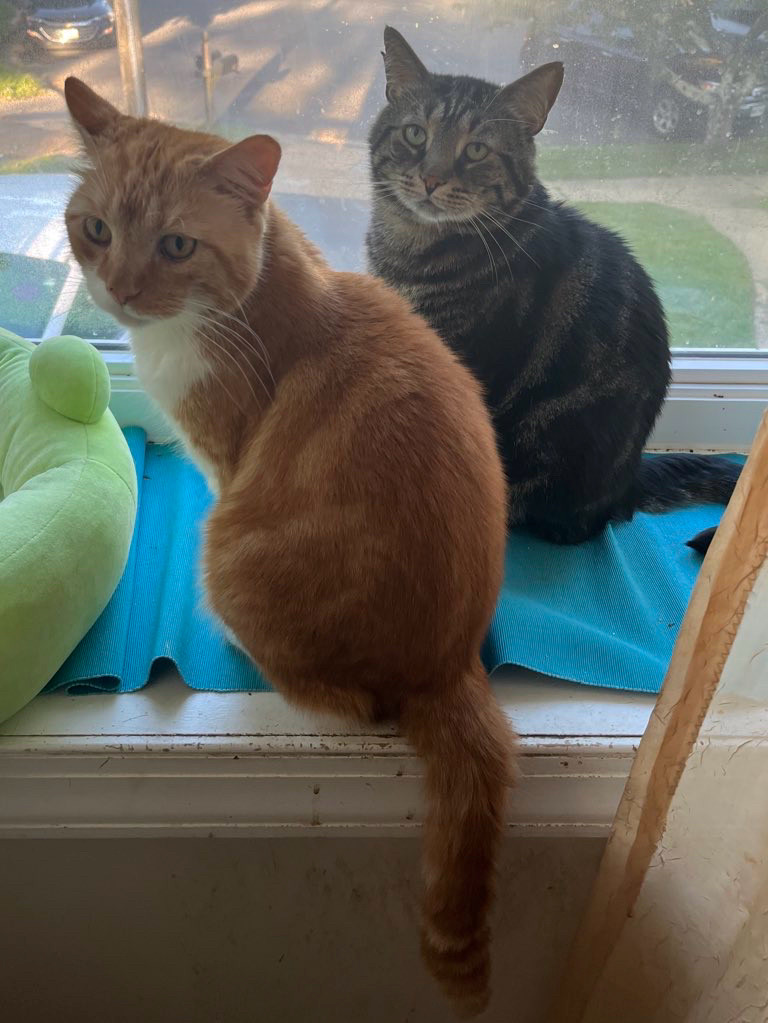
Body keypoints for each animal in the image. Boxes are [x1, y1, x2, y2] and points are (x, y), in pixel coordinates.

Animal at [63, 77, 513, 1014]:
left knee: (349, 701)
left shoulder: (224, 459)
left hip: (230, 558)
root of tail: (449, 664)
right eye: (96, 229)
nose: (118, 292)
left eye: (176, 244)